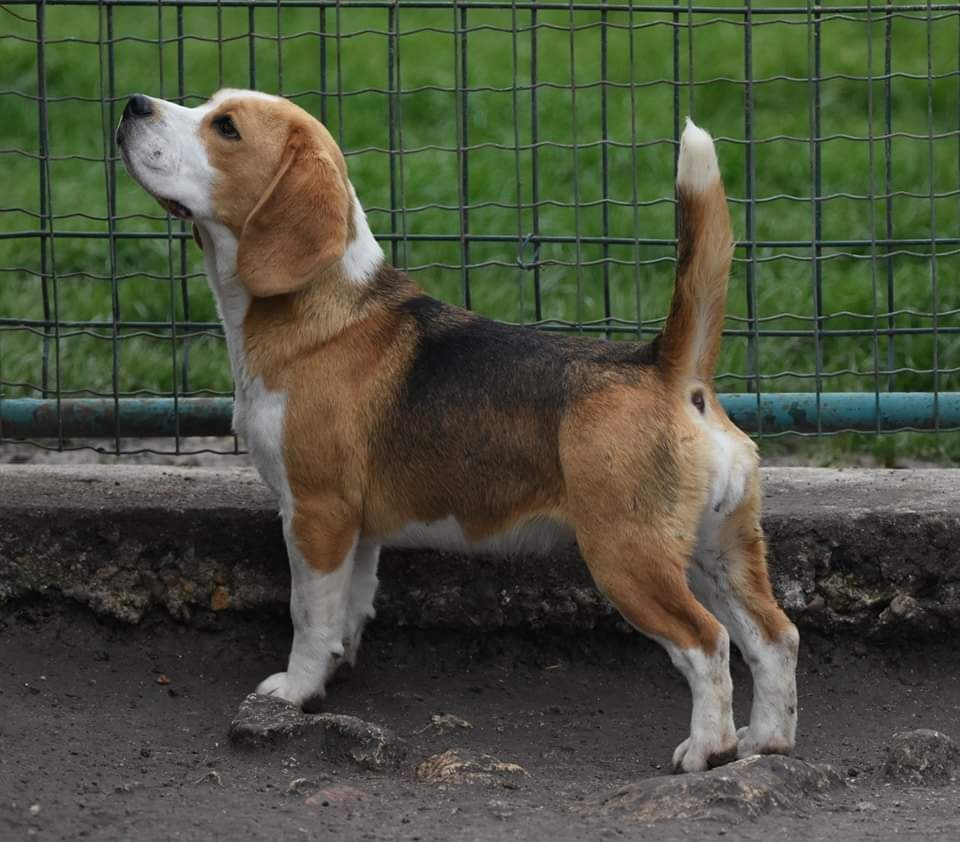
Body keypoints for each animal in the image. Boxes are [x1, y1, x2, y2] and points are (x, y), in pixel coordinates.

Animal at [116, 90, 800, 768]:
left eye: (226, 128)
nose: (133, 104)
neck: (321, 304)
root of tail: (667, 369)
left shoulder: (317, 512)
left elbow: (308, 613)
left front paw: (296, 690)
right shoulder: (359, 528)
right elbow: (348, 607)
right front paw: (336, 671)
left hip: (628, 557)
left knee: (707, 642)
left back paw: (708, 749)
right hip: (720, 550)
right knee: (774, 637)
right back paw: (765, 740)